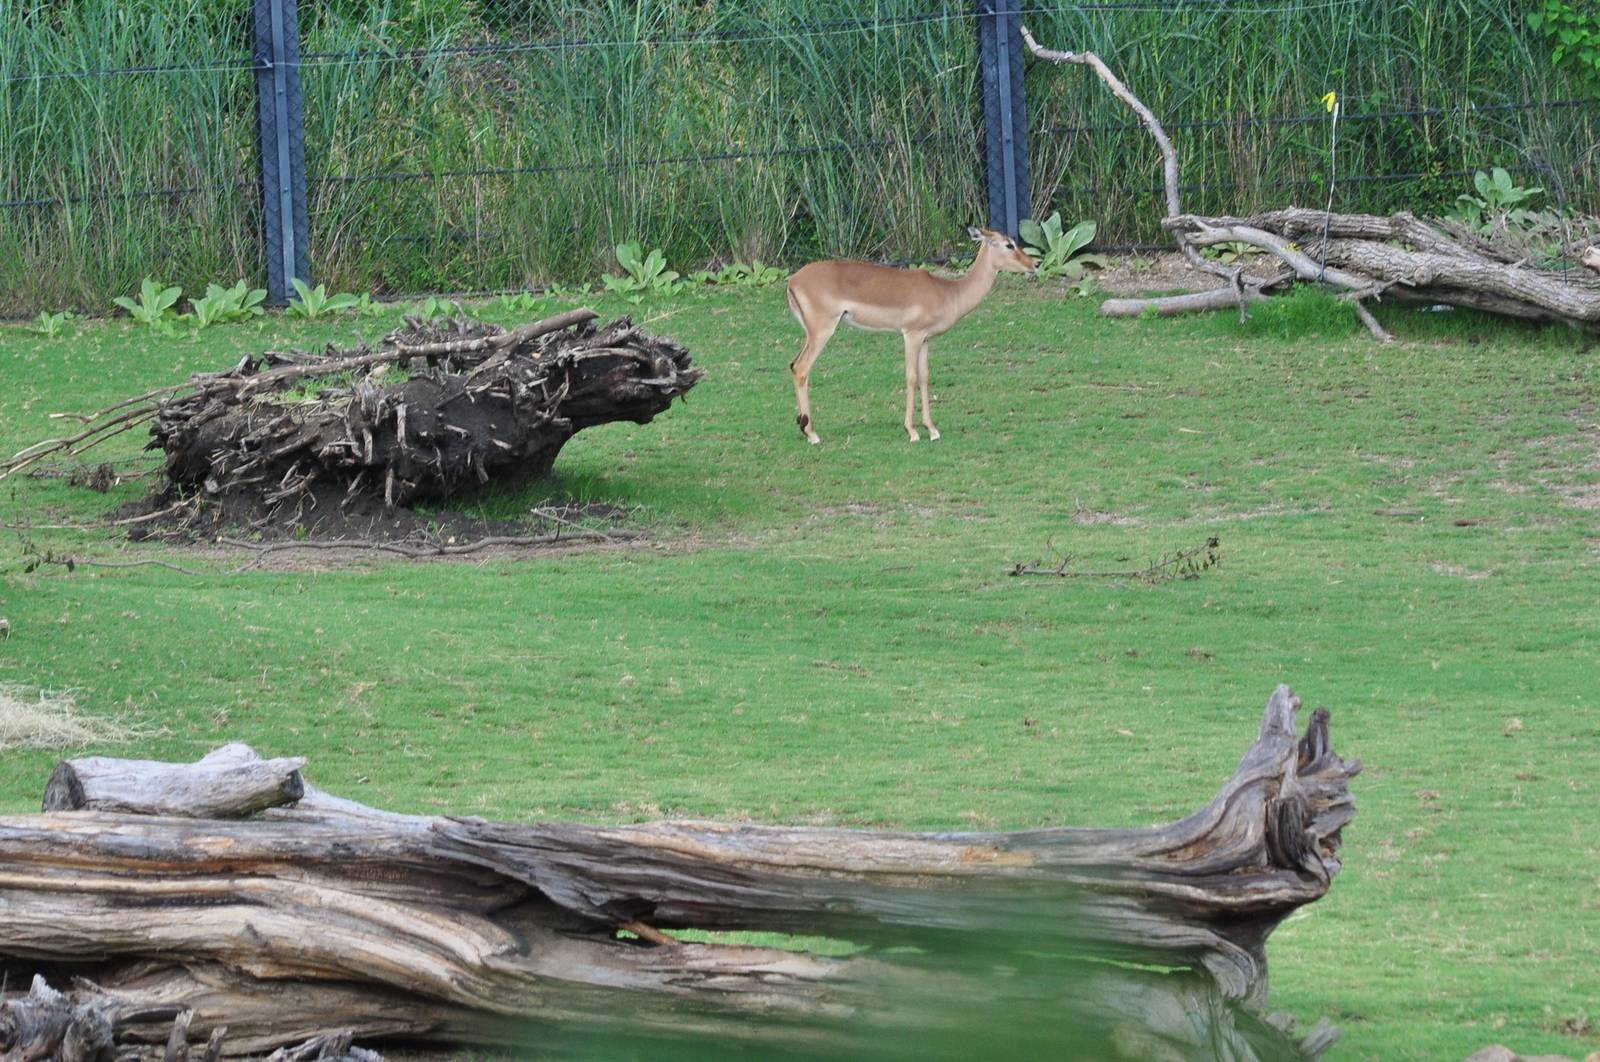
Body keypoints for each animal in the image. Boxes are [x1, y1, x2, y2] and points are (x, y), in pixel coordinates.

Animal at [785, 227, 1037, 444]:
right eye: (1009, 244)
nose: (1034, 264)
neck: (948, 292)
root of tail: (792, 281)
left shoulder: (925, 339)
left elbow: (925, 377)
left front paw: (932, 430)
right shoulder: (911, 334)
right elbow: (911, 377)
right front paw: (913, 431)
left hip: (812, 333)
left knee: (793, 365)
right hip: (822, 331)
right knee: (802, 368)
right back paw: (812, 434)